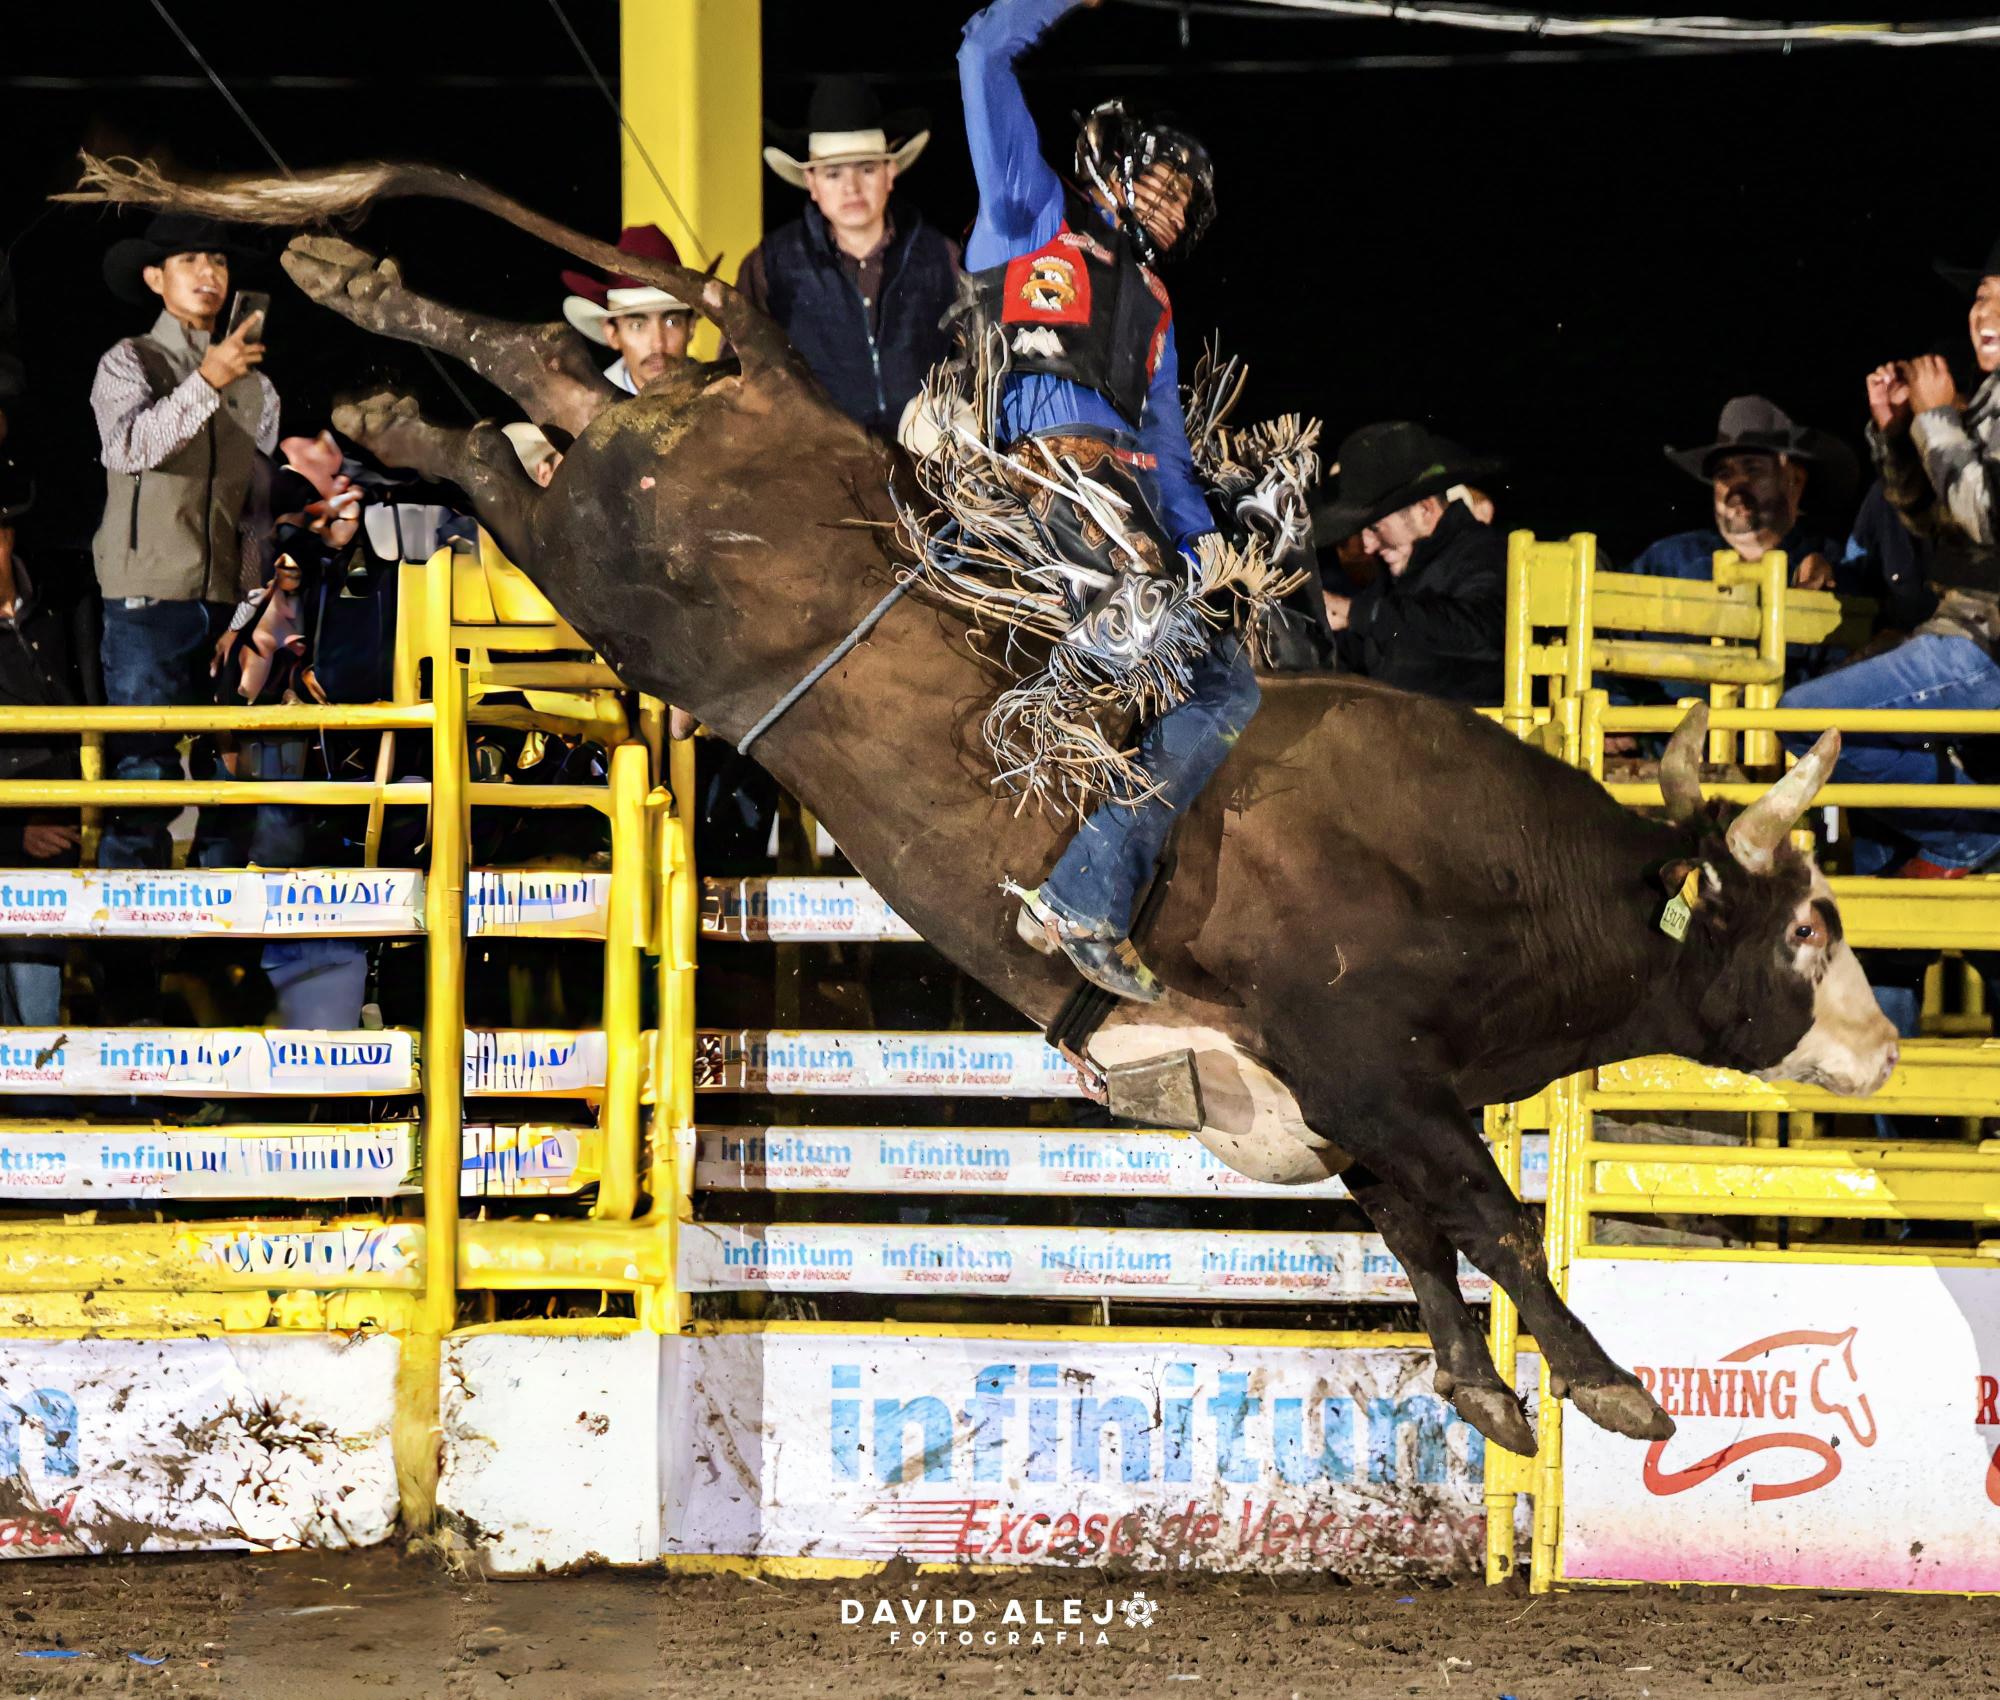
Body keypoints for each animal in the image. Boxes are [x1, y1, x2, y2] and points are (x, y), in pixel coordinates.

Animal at [66, 162, 1904, 1456]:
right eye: (1805, 928)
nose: (1883, 1047)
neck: (1485, 882)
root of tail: (770, 383)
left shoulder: (1337, 1104)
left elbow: (1425, 1235)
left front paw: (1488, 1394)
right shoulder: (1374, 1065)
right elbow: (1497, 1223)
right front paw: (1608, 1391)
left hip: (631, 490)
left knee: (547, 375)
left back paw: (349, 296)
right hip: (609, 565)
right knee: (512, 448)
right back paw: (377, 385)